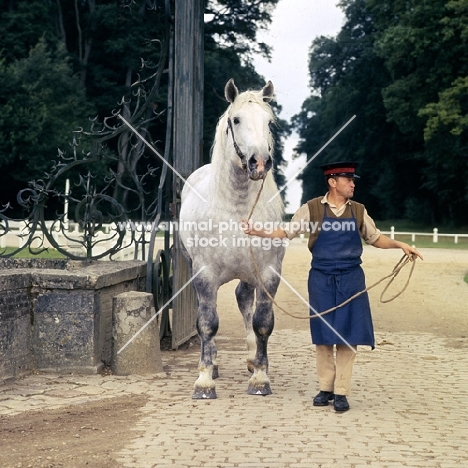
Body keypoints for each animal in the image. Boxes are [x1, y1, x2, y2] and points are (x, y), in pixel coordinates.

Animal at [178, 77, 286, 398]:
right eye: (236, 120)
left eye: (269, 122)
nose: (259, 162)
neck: (235, 208)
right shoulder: (204, 274)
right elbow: (207, 324)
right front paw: (204, 380)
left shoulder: (268, 273)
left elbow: (262, 324)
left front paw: (260, 378)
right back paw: (212, 364)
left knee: (244, 300)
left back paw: (251, 359)